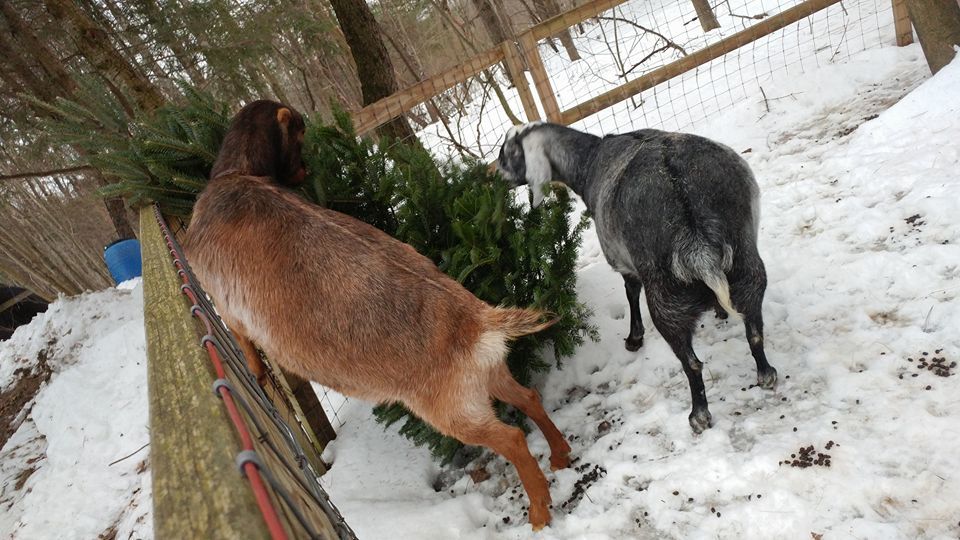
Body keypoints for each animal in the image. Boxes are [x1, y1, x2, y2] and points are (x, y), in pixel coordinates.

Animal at [184, 101, 570, 530]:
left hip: (452, 409)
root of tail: (477, 319)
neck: (236, 176)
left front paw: (255, 372)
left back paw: (539, 510)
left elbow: (242, 339)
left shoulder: (225, 300)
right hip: (487, 376)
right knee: (528, 397)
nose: (305, 171)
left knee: (511, 439)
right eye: (300, 134)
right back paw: (559, 456)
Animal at [496, 122, 777, 433]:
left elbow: (630, 292)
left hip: (665, 298)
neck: (589, 161)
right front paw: (719, 311)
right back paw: (765, 373)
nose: (494, 176)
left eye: (507, 152)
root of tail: (696, 235)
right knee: (754, 330)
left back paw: (698, 415)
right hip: (746, 265)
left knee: (692, 363)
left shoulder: (624, 262)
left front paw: (634, 338)